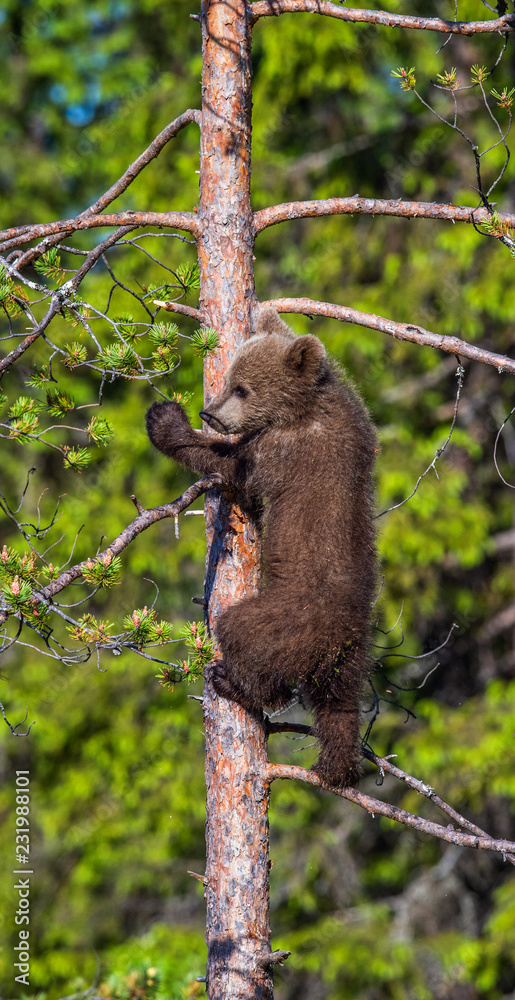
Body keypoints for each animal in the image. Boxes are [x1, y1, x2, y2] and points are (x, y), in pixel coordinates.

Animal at [146, 307, 377, 787]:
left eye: (242, 388)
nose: (210, 413)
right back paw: (338, 767)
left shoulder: (286, 451)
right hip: (350, 662)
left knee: (245, 637)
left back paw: (230, 681)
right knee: (339, 708)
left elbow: (234, 467)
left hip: (287, 620)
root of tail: (338, 640)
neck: (301, 409)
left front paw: (166, 420)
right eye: (230, 377)